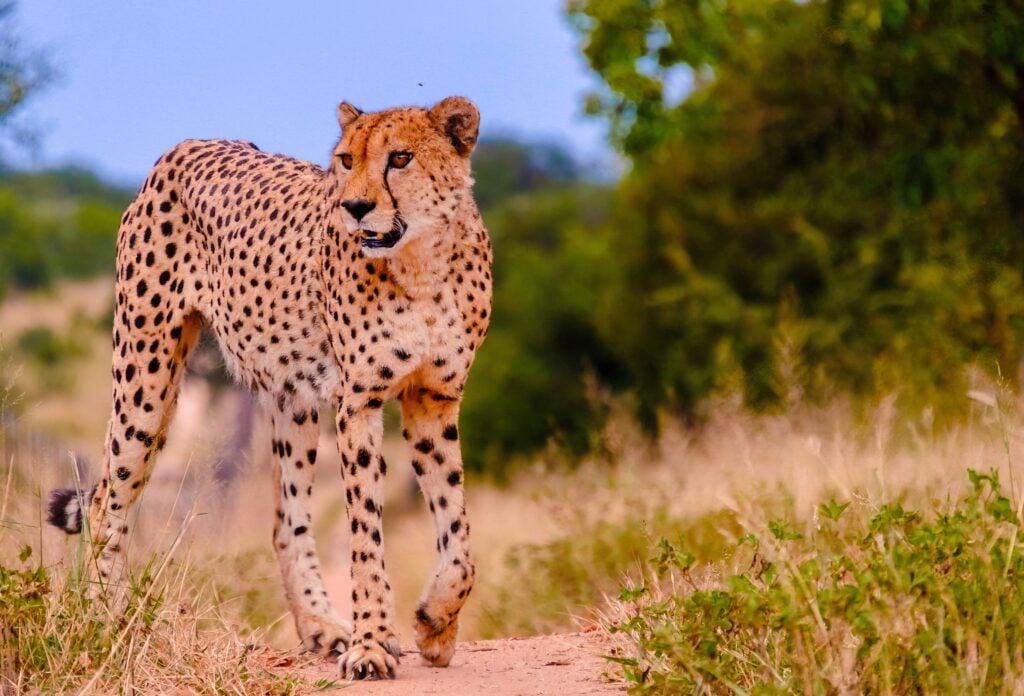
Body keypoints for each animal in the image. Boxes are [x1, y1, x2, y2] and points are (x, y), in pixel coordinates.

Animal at [45, 96, 492, 680]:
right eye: (346, 160)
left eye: (400, 158)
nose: (354, 207)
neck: (422, 263)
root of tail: (188, 143)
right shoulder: (360, 402)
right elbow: (366, 536)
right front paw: (373, 644)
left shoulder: (434, 399)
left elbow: (458, 531)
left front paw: (435, 624)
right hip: (147, 375)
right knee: (106, 501)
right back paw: (105, 623)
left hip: (291, 396)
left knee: (288, 522)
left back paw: (322, 627)